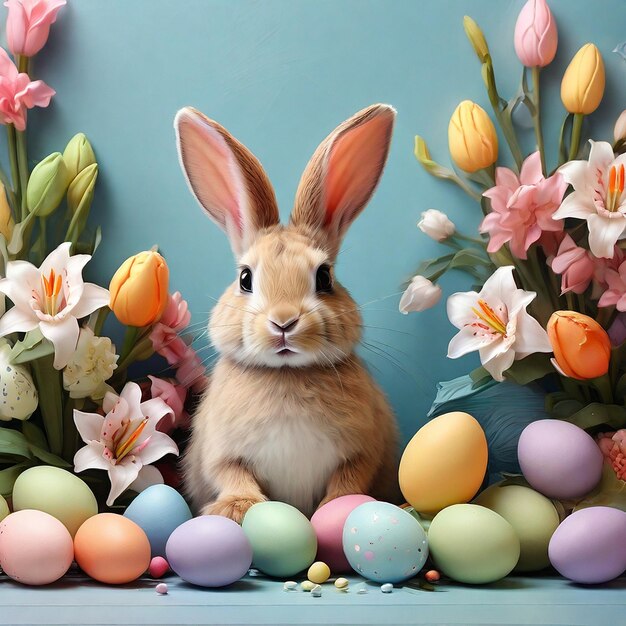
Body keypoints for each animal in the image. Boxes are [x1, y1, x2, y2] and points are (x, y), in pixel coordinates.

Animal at [173, 103, 402, 520]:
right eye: (245, 278)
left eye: (324, 276)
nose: (283, 321)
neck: (286, 375)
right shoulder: (220, 452)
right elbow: (231, 473)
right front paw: (237, 507)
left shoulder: (364, 451)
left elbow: (349, 478)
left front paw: (337, 508)